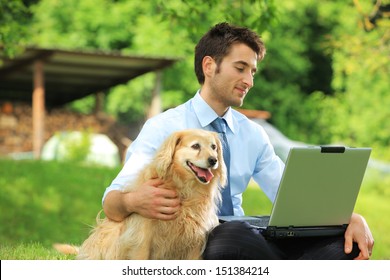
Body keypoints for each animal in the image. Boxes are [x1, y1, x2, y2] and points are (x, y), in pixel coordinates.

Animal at [67, 130, 227, 260]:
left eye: (214, 147)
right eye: (195, 146)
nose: (214, 160)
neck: (185, 189)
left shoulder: (196, 240)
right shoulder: (142, 237)